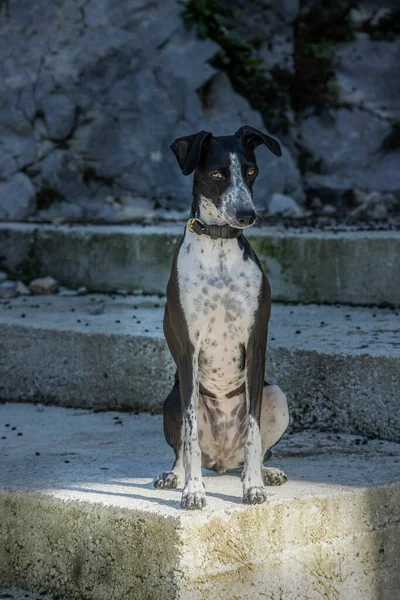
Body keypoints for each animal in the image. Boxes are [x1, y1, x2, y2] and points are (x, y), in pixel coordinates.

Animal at [155, 124, 290, 508]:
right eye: (217, 174)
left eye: (251, 171)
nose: (247, 214)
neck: (218, 246)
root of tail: (222, 461)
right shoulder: (188, 351)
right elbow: (189, 438)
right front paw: (193, 491)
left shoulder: (256, 345)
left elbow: (255, 432)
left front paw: (254, 487)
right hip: (172, 399)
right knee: (184, 449)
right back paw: (176, 475)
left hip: (276, 394)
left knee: (254, 451)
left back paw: (262, 472)